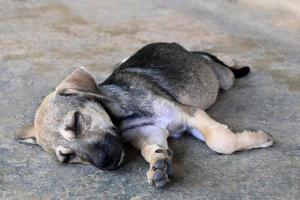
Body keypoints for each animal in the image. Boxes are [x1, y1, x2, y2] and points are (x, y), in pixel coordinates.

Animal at [17, 42, 274, 188]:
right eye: (68, 157)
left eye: (76, 121)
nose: (106, 163)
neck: (121, 114)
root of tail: (176, 45)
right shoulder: (149, 132)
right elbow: (152, 149)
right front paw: (159, 164)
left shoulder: (190, 114)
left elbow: (221, 140)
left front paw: (258, 139)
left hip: (225, 80)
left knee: (220, 64)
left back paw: (231, 60)